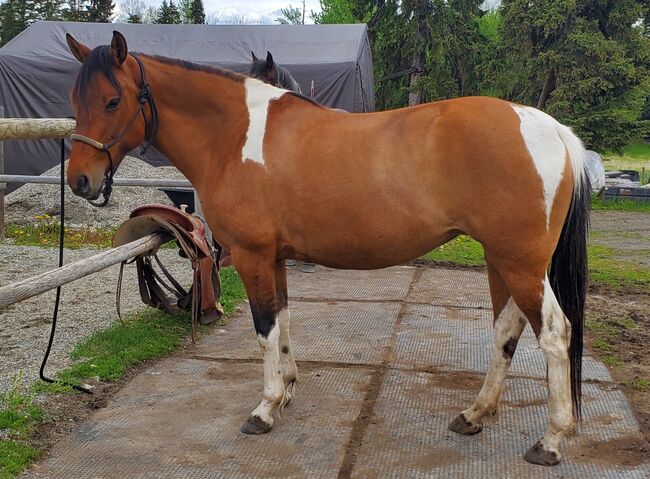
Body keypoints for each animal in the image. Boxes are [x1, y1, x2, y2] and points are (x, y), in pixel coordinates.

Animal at [64, 31, 588, 466]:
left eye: (112, 100)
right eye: (74, 99)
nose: (80, 180)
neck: (231, 136)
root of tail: (551, 129)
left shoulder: (253, 256)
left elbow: (264, 328)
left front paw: (265, 408)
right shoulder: (274, 258)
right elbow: (282, 319)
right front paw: (288, 390)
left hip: (520, 263)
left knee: (554, 333)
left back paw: (550, 441)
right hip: (502, 260)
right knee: (506, 330)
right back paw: (475, 415)